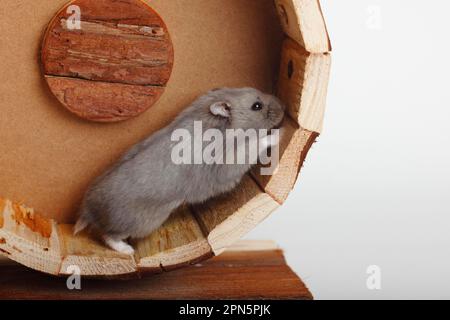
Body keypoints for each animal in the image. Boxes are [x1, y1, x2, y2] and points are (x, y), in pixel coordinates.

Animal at [74, 87, 284, 252]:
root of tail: (88, 210)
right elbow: (255, 144)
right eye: (256, 106)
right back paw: (128, 250)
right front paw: (277, 134)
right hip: (140, 223)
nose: (284, 106)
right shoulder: (228, 163)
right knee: (108, 236)